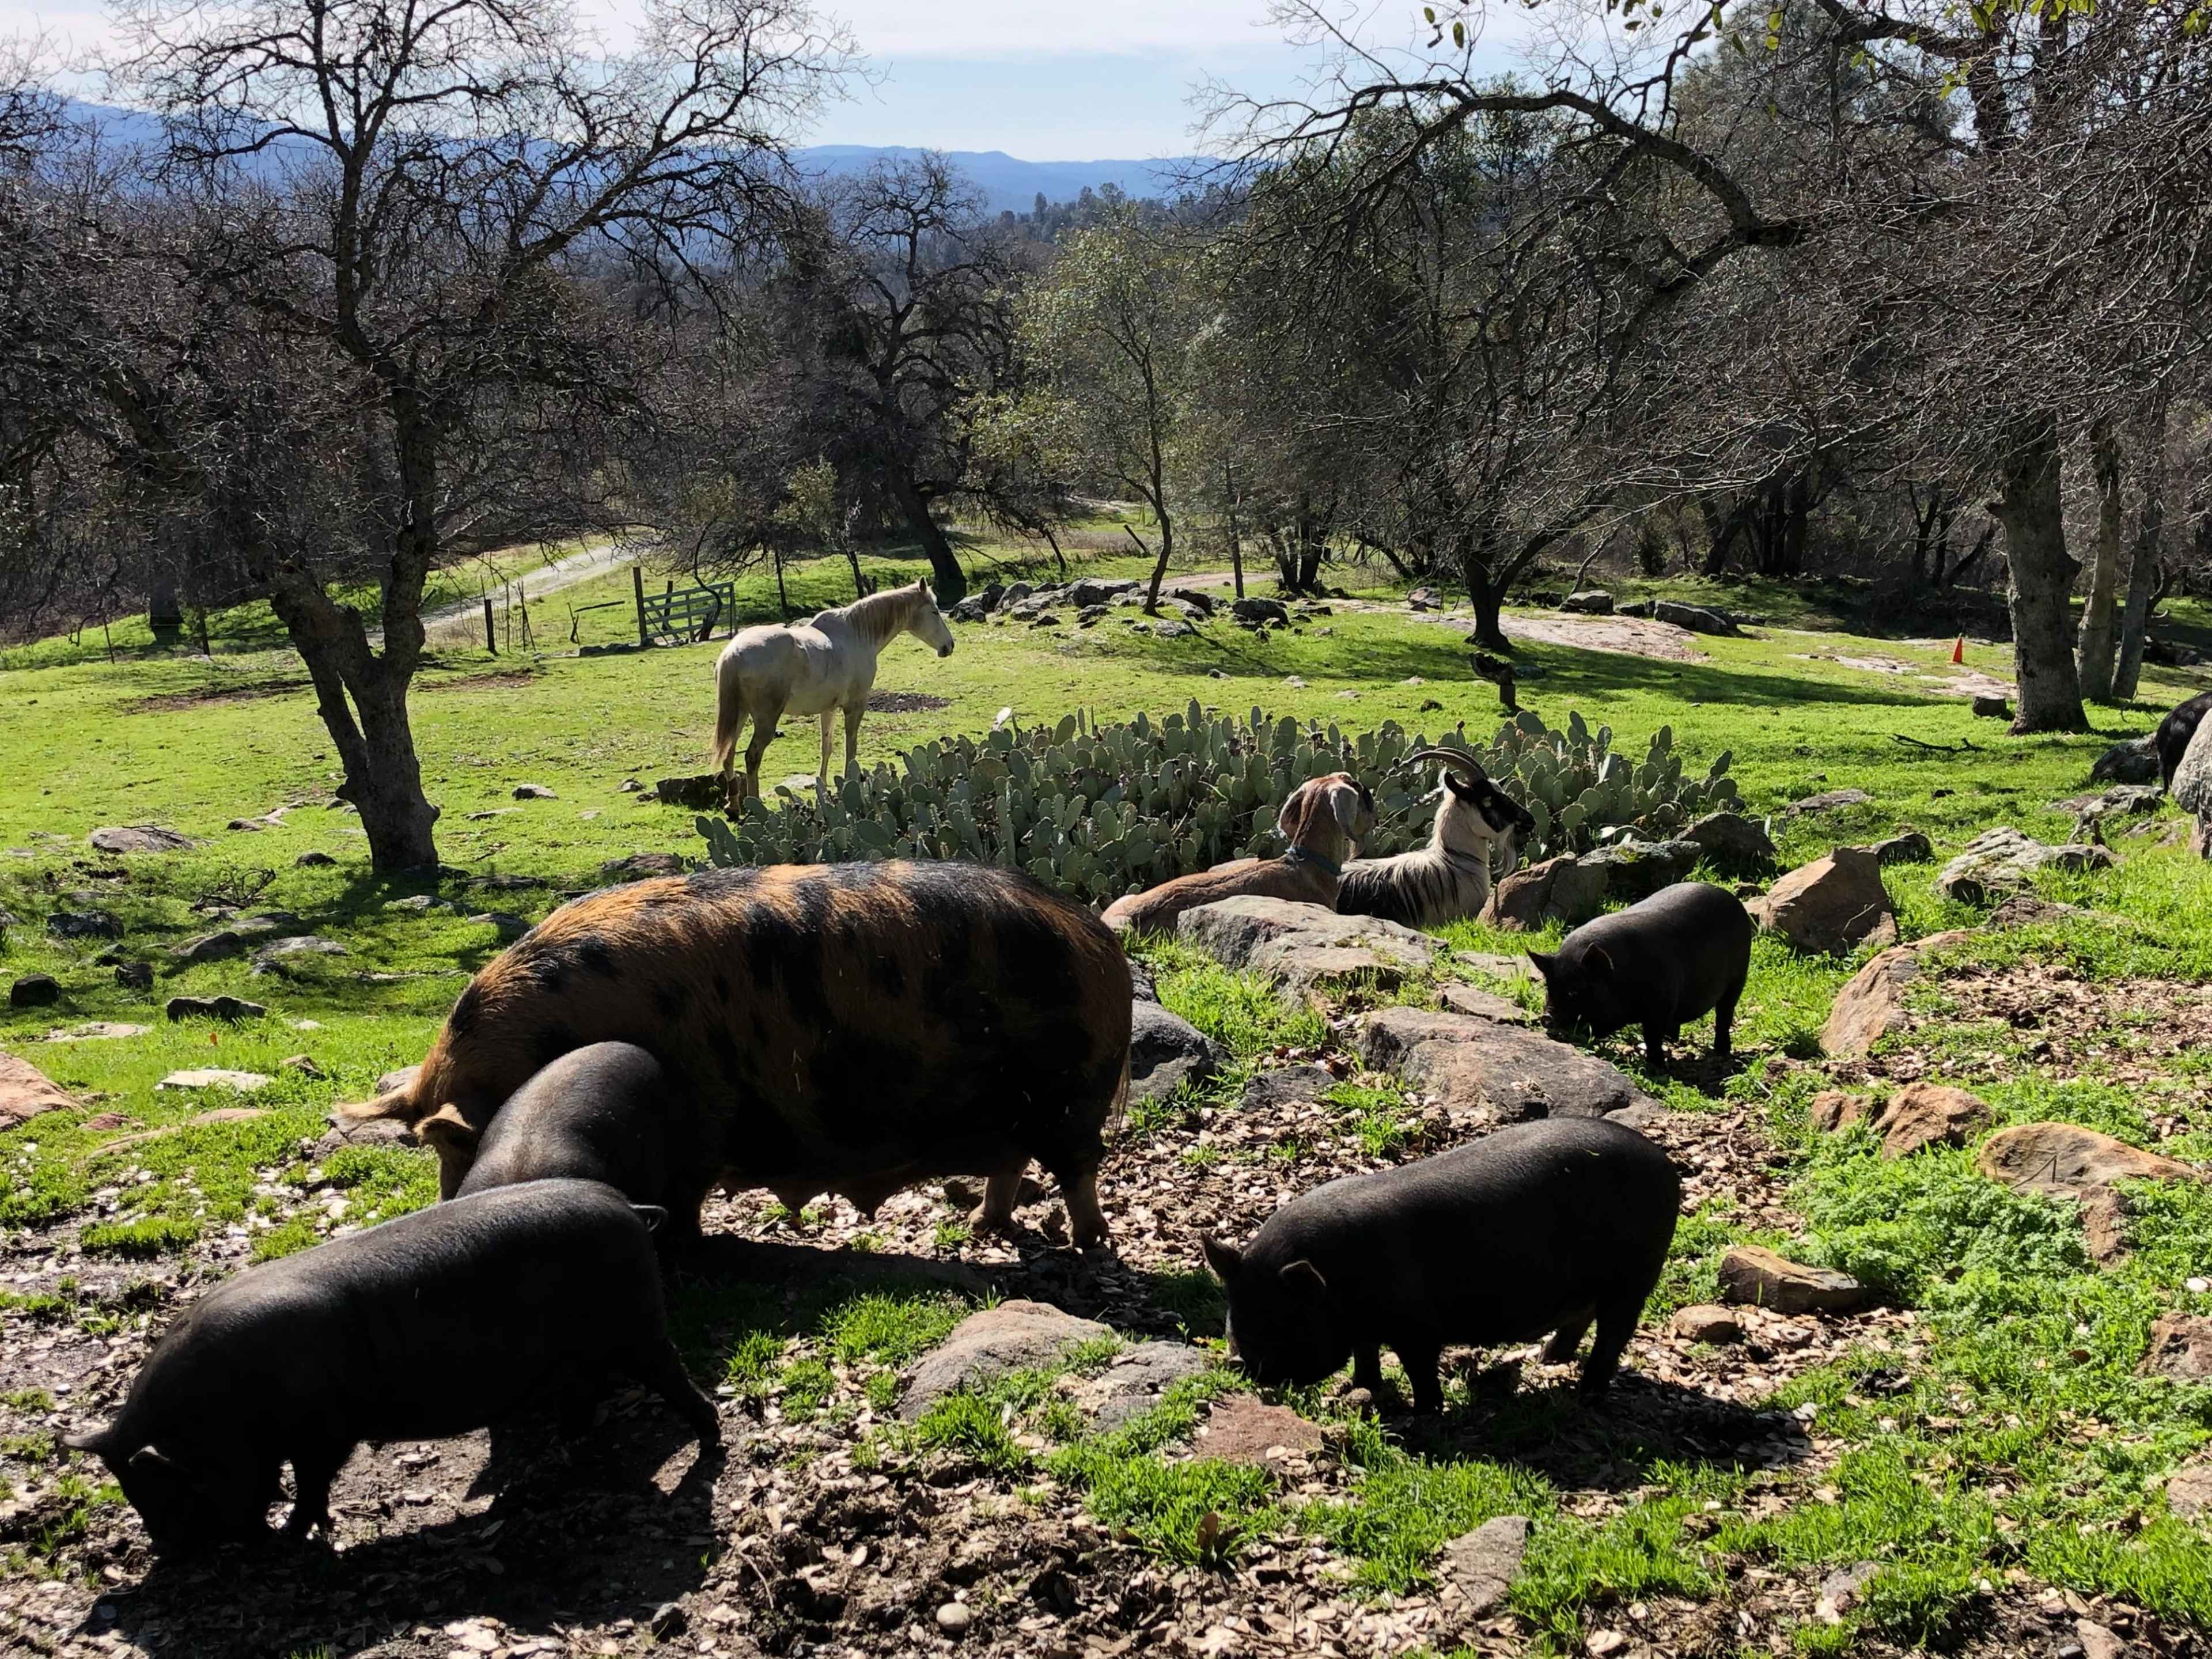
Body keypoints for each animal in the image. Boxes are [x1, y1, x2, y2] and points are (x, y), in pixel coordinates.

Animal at [62, 1179, 718, 1549]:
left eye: (164, 1488)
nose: (168, 1553)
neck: (219, 1413)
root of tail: (623, 1204)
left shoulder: (323, 1431)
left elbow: (311, 1483)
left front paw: (292, 1537)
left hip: (637, 1329)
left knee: (676, 1383)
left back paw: (710, 1444)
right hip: (584, 1353)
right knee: (583, 1403)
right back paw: (556, 1464)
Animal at [337, 861, 1133, 1248]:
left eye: (454, 1147)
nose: (447, 1208)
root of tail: (1095, 935)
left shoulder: (701, 1130)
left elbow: (686, 1199)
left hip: (1072, 1094)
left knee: (1078, 1168)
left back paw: (1090, 1243)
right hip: (1016, 1106)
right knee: (1012, 1161)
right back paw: (981, 1229)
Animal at [711, 580, 956, 806]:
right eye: (934, 612)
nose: (949, 646)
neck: (857, 634)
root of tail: (733, 654)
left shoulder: (829, 709)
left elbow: (826, 747)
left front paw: (823, 787)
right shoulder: (855, 707)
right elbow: (851, 747)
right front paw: (850, 782)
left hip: (740, 714)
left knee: (729, 755)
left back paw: (734, 805)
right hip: (764, 721)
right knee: (752, 757)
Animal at [1202, 1119, 1678, 1409]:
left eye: (1283, 1321)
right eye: (1234, 1314)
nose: (1239, 1363)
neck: (1338, 1282)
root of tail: (1667, 1166)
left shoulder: (1417, 1325)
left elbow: (1419, 1369)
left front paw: (1425, 1412)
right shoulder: (1367, 1328)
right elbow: (1366, 1355)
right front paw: (1360, 1389)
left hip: (1636, 1277)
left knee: (1613, 1335)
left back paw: (1587, 1396)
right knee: (1581, 1317)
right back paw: (1547, 1359)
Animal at [1527, 880, 1752, 1066]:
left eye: (1574, 991)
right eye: (1548, 988)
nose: (1546, 1017)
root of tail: (1733, 900)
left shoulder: (1661, 1004)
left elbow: (1652, 1037)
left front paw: (1657, 1067)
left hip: (1739, 977)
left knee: (1724, 1013)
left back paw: (1722, 1052)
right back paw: (1673, 1039)